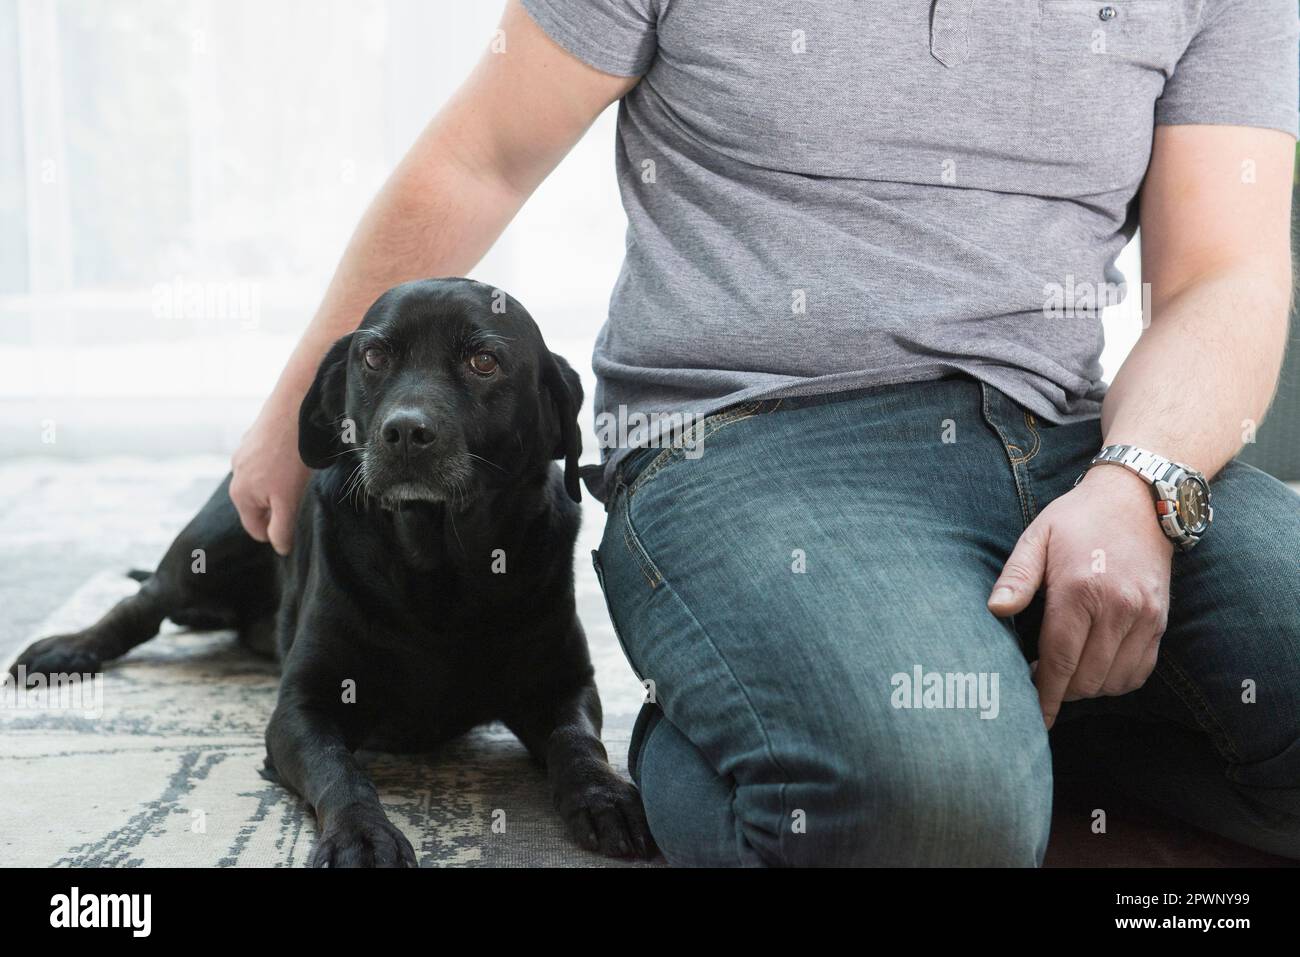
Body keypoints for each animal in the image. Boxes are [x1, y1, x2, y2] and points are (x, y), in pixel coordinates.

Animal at [12, 276, 650, 868]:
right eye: (374, 357)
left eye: (484, 362)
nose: (405, 432)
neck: (437, 566)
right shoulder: (302, 708)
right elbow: (340, 771)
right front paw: (362, 835)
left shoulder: (562, 685)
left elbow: (578, 742)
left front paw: (606, 795)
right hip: (214, 544)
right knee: (142, 602)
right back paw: (66, 650)